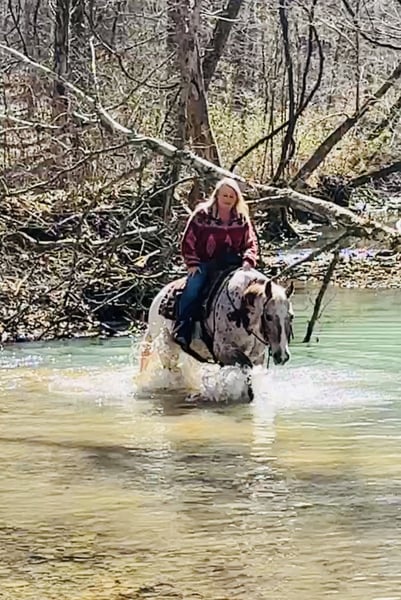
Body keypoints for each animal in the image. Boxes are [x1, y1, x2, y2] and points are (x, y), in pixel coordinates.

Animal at [138, 267, 294, 402]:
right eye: (268, 316)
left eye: (291, 316)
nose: (282, 356)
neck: (240, 311)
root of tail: (156, 300)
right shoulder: (223, 351)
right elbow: (246, 367)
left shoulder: (258, 357)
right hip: (168, 352)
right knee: (174, 374)